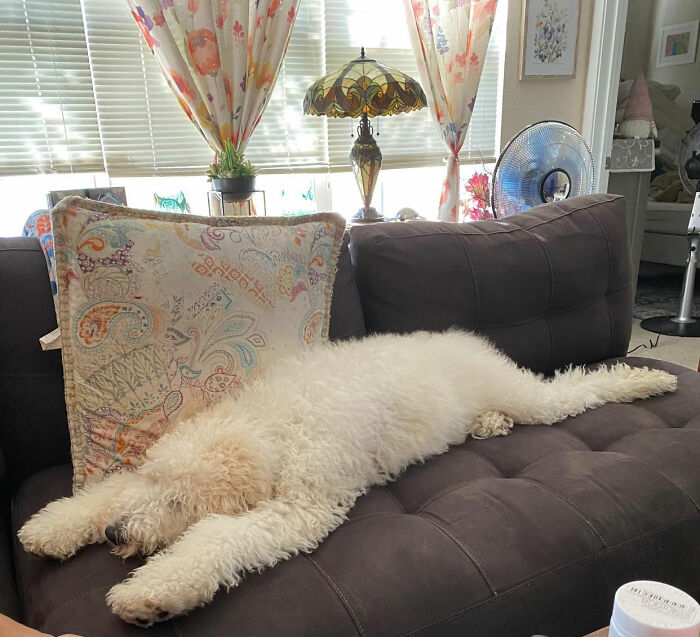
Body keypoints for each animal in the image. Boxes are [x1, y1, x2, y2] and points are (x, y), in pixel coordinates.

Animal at [19, 332, 676, 628]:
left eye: (180, 501)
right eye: (154, 483)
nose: (114, 535)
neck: (273, 423)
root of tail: (468, 341)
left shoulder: (301, 504)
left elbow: (218, 539)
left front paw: (152, 592)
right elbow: (103, 491)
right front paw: (53, 528)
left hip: (533, 396)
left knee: (579, 387)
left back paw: (648, 380)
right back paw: (488, 424)